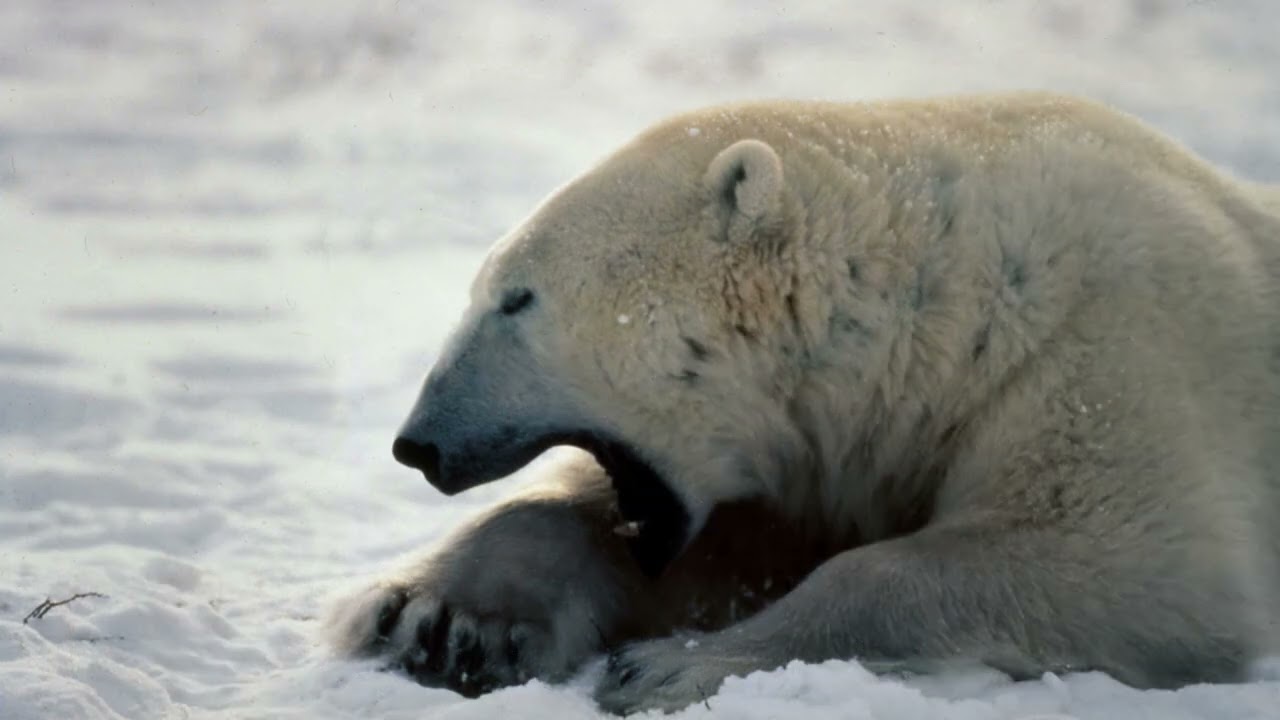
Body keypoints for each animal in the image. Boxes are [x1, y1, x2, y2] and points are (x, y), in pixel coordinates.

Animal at [328, 92, 1280, 715]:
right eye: (488, 286)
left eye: (516, 299)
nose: (419, 444)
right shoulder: (829, 458)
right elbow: (715, 544)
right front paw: (439, 620)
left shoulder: (1102, 352)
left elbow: (1127, 561)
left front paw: (667, 667)